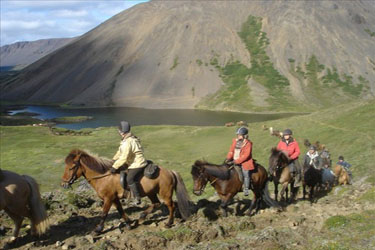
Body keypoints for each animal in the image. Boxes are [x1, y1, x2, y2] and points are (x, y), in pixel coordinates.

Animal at [61, 148, 194, 232]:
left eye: (72, 167)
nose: (63, 184)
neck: (104, 177)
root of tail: (170, 171)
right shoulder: (114, 199)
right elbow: (120, 211)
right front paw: (129, 224)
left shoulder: (108, 198)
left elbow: (104, 213)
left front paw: (98, 229)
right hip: (151, 193)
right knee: (156, 204)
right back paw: (141, 217)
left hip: (165, 194)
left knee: (171, 206)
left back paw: (168, 223)